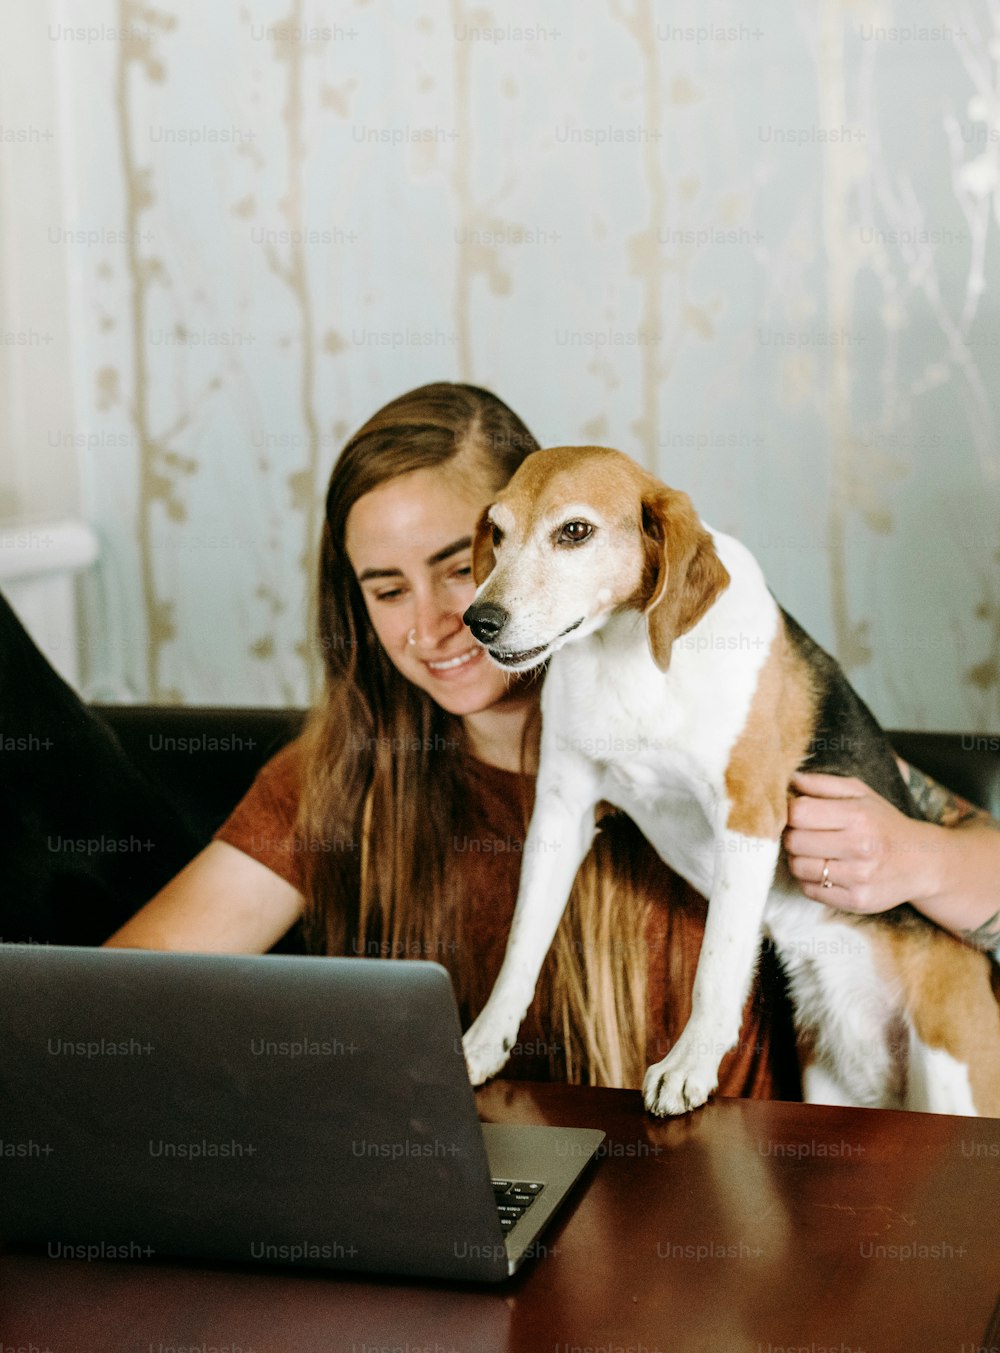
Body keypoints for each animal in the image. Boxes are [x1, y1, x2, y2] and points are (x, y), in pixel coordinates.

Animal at [462, 449, 1000, 1114]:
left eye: (575, 531)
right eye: (498, 532)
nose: (478, 620)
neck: (631, 656)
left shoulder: (748, 814)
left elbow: (716, 967)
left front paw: (689, 1063)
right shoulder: (561, 811)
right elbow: (522, 942)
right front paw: (482, 1043)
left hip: (951, 1070)